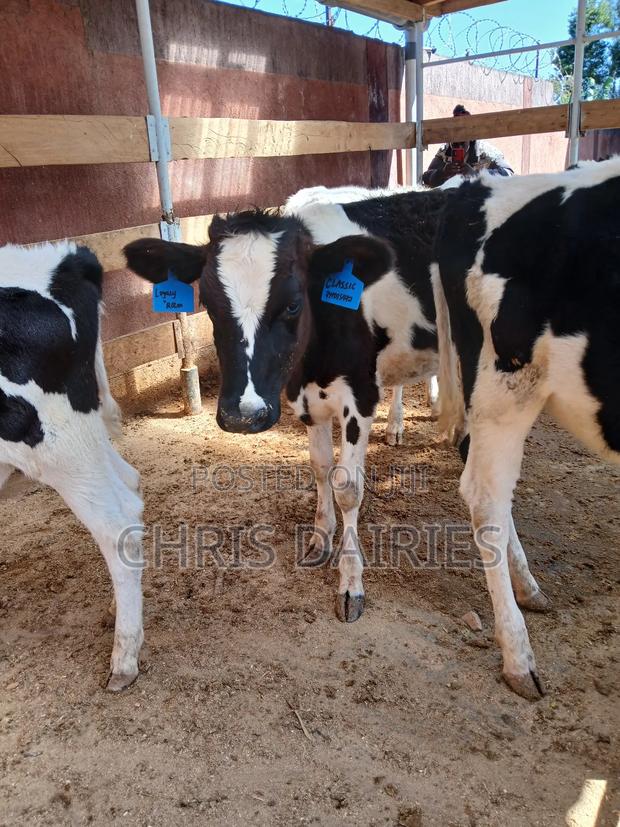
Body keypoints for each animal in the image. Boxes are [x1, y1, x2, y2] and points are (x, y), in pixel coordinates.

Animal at [0, 241, 143, 690]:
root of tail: (64, 257)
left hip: (58, 444)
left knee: (117, 526)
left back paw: (124, 657)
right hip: (84, 437)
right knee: (130, 484)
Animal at [124, 184, 448, 622]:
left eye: (294, 303)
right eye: (207, 302)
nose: (243, 416)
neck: (315, 360)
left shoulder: (361, 396)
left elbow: (348, 486)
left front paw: (350, 583)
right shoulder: (305, 397)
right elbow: (321, 468)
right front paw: (320, 539)